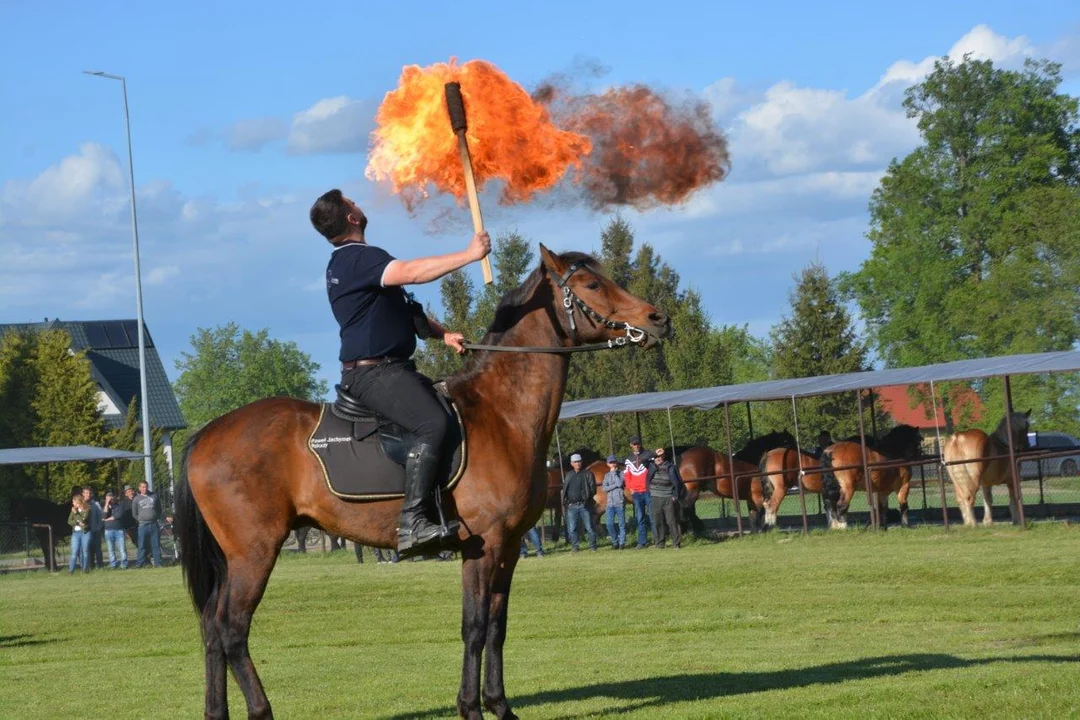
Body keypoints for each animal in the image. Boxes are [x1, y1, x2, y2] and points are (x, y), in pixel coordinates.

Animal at [172, 248, 669, 720]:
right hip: (254, 552)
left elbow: (497, 626)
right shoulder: (483, 546)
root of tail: (206, 435)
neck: (502, 413)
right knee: (232, 629)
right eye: (591, 284)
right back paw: (261, 710)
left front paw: (499, 705)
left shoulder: (509, 546)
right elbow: (474, 627)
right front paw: (471, 707)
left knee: (211, 628)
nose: (657, 319)